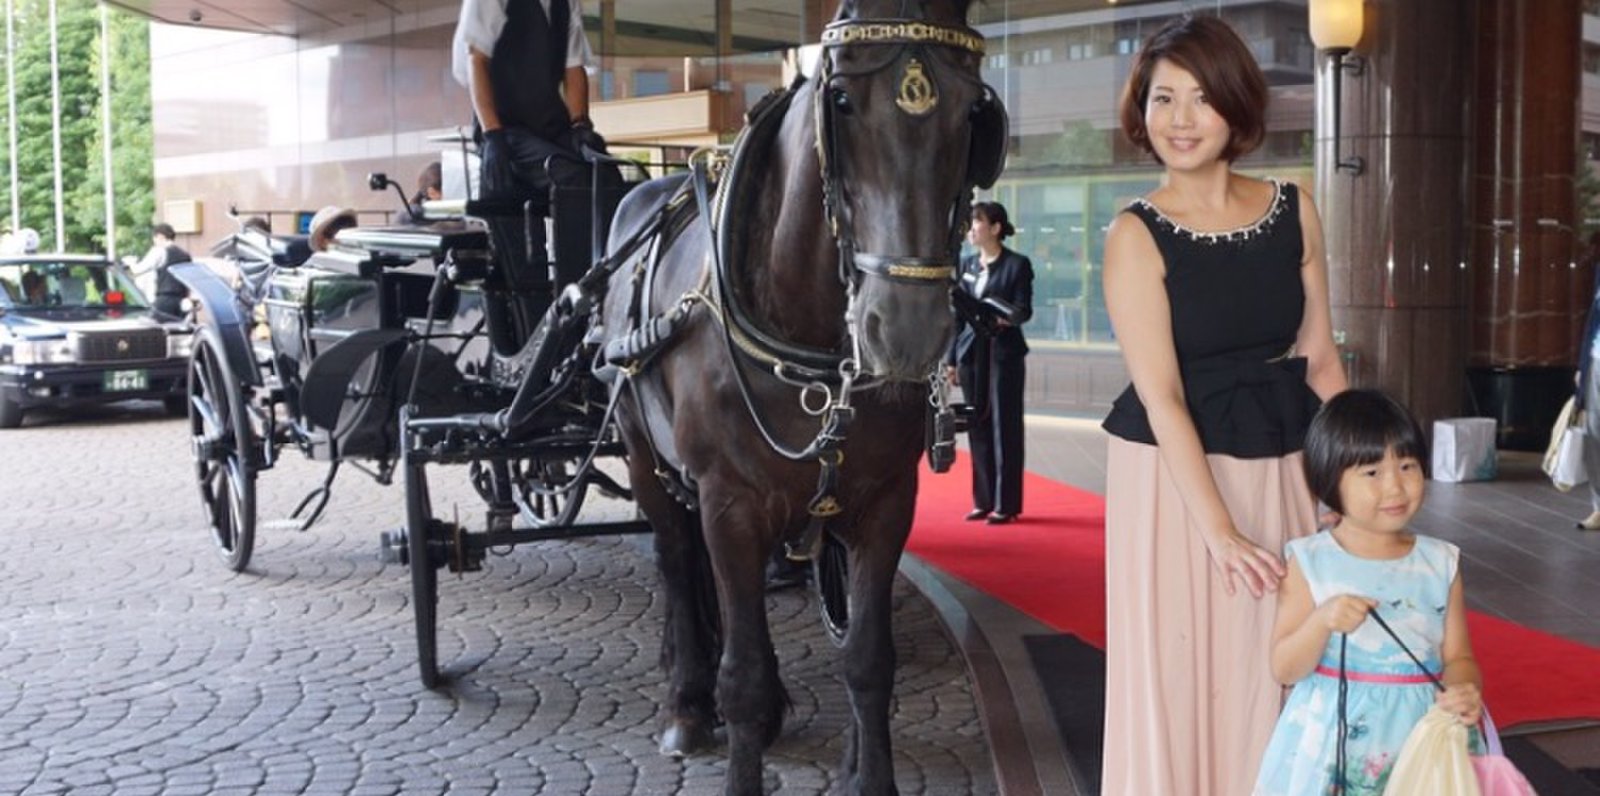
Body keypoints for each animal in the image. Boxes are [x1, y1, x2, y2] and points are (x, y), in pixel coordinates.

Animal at [598, 3, 998, 792]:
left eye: (975, 111)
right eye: (840, 100)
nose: (905, 328)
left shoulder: (885, 501)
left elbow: (868, 662)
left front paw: (868, 774)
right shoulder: (729, 503)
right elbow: (743, 677)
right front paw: (731, 714)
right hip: (641, 454)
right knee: (675, 559)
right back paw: (687, 702)